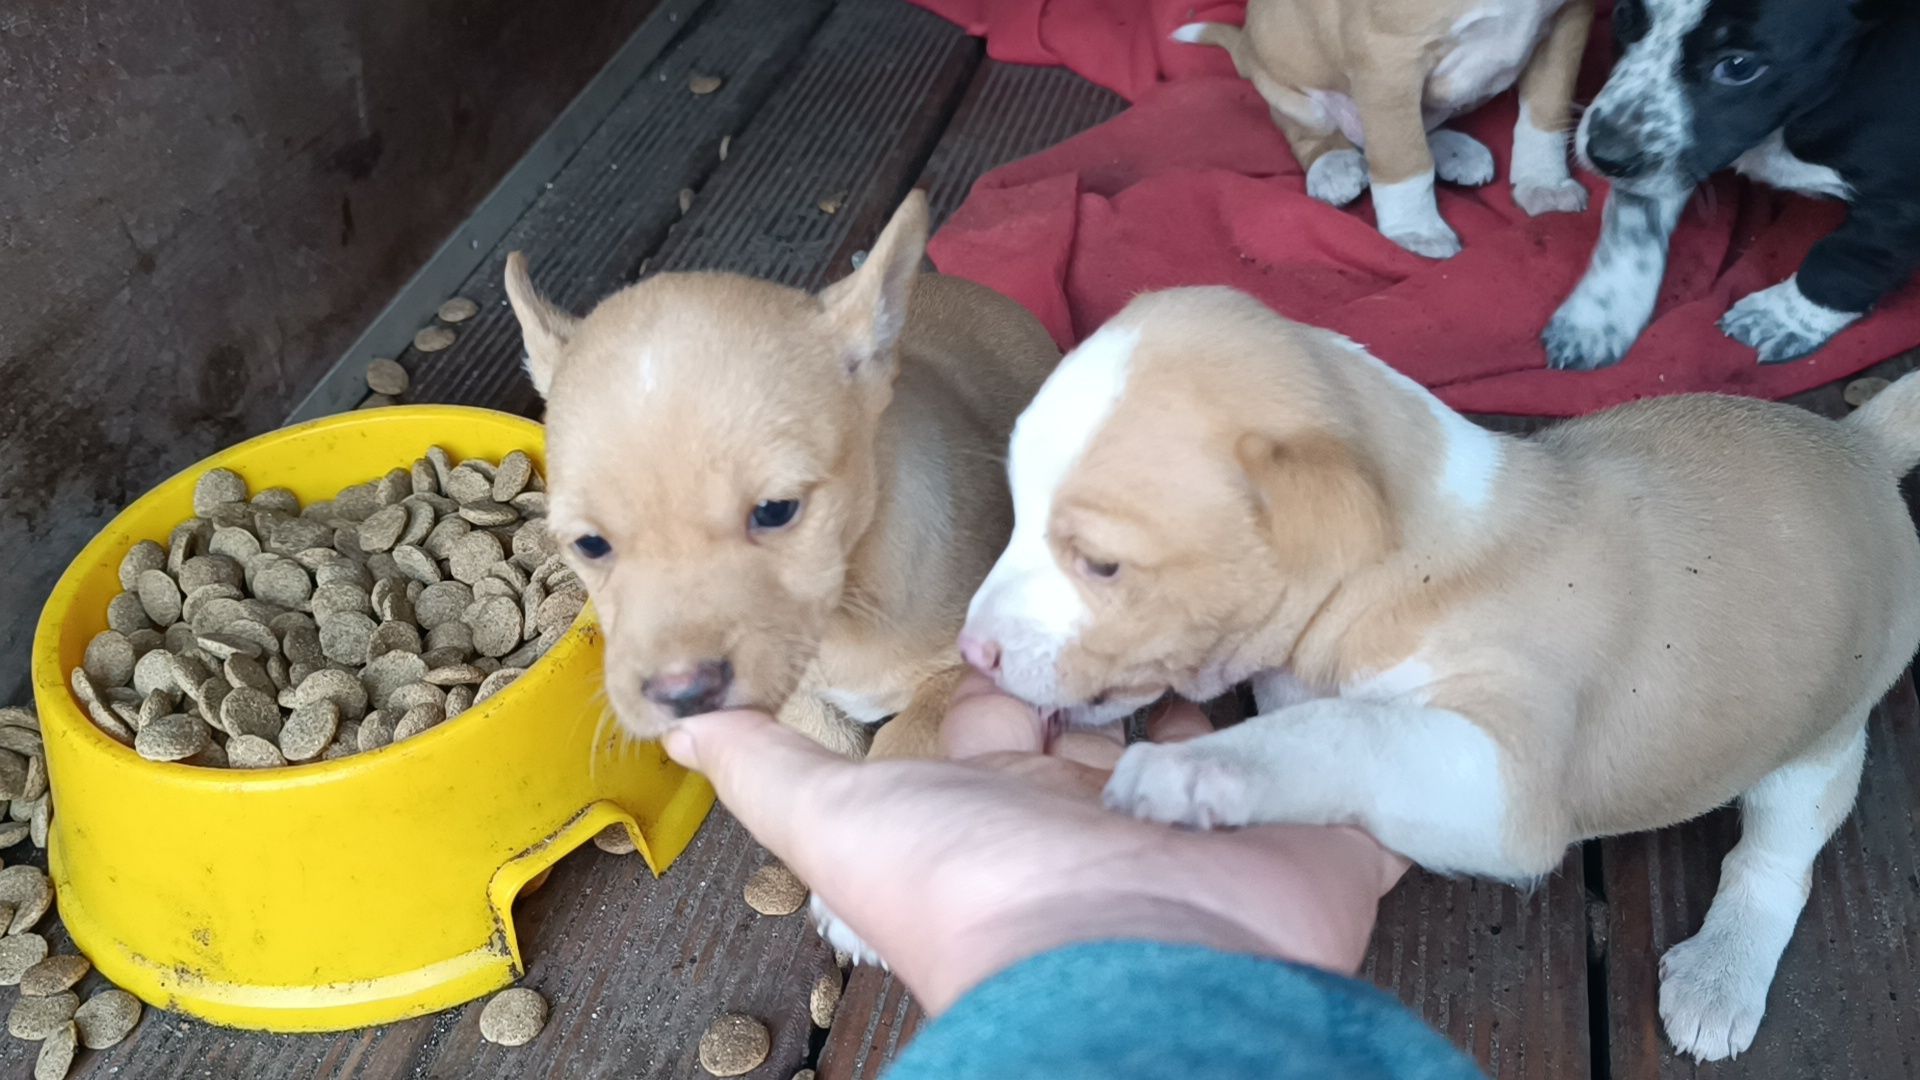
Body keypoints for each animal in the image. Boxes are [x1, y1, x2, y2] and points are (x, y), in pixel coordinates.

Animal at [503, 187, 1059, 757]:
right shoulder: (797, 699)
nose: (684, 693)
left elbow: (908, 743)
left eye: (775, 511)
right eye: (590, 544)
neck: (843, 613)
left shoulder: (962, 673)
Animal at [967, 284, 1920, 1060]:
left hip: (1820, 747)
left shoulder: (1504, 784)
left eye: (1102, 565)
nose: (973, 651)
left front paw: (1199, 768)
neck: (1412, 559)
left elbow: (1346, 729)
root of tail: (1861, 446)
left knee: (1775, 859)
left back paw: (1722, 972)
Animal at [1175, 0, 1597, 259]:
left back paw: (1454, 150)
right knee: (1312, 133)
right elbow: (1403, 158)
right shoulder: (1389, 59)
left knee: (1422, 126)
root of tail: (1244, 45)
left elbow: (1546, 111)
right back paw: (1335, 165)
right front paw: (1415, 230)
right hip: (1295, 91)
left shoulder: (1569, 21)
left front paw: (1543, 183)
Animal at [1543, 0, 1920, 367]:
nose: (1606, 157)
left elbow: (1846, 258)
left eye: (1739, 66)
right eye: (1624, 15)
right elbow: (1630, 227)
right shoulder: (1671, 162)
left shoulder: (1899, 206)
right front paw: (1596, 317)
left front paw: (1780, 318)